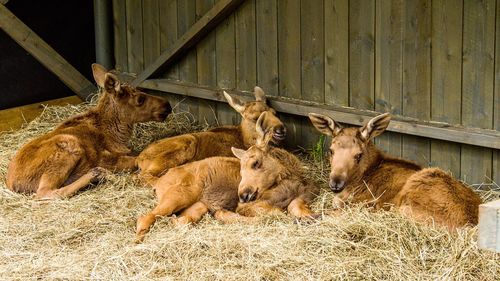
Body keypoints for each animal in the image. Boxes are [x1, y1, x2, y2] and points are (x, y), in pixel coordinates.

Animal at [5, 63, 172, 199]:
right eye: (140, 99)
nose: (167, 104)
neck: (117, 135)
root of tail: (13, 184)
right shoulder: (107, 158)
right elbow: (137, 159)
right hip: (68, 146)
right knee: (45, 193)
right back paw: (94, 174)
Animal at [135, 111, 318, 241]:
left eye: (256, 163)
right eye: (241, 170)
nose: (243, 195)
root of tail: (158, 184)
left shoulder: (305, 195)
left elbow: (296, 207)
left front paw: (310, 217)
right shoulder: (247, 206)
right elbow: (273, 214)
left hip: (197, 205)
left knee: (179, 221)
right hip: (179, 195)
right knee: (145, 217)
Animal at [136, 86, 286, 185]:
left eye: (275, 112)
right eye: (255, 118)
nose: (281, 130)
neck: (243, 140)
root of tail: (139, 159)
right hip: (186, 143)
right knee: (143, 176)